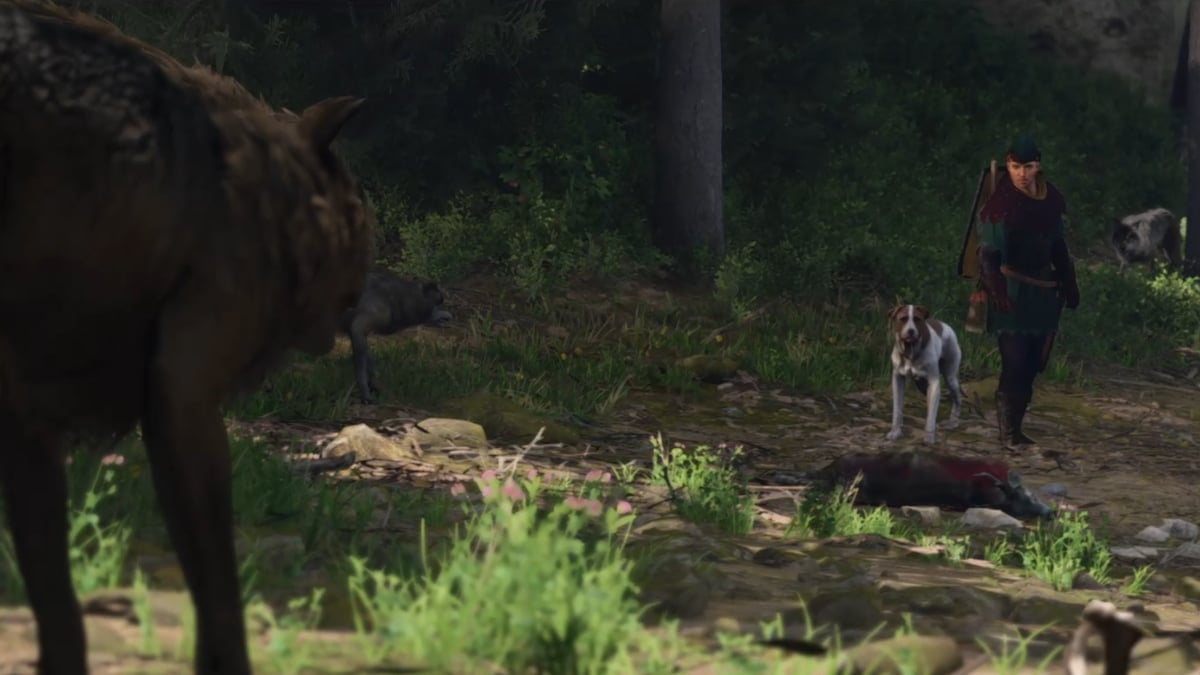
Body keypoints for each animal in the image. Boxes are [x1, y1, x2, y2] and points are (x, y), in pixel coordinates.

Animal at [0, 3, 373, 674]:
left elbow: (53, 591)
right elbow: (219, 590)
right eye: (363, 217)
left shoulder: (26, 417)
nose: (360, 295)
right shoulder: (182, 400)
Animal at [342, 266, 453, 403]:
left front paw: (374, 383)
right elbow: (361, 366)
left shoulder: (355, 333)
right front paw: (365, 393)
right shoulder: (359, 328)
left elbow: (369, 358)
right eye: (438, 304)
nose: (450, 315)